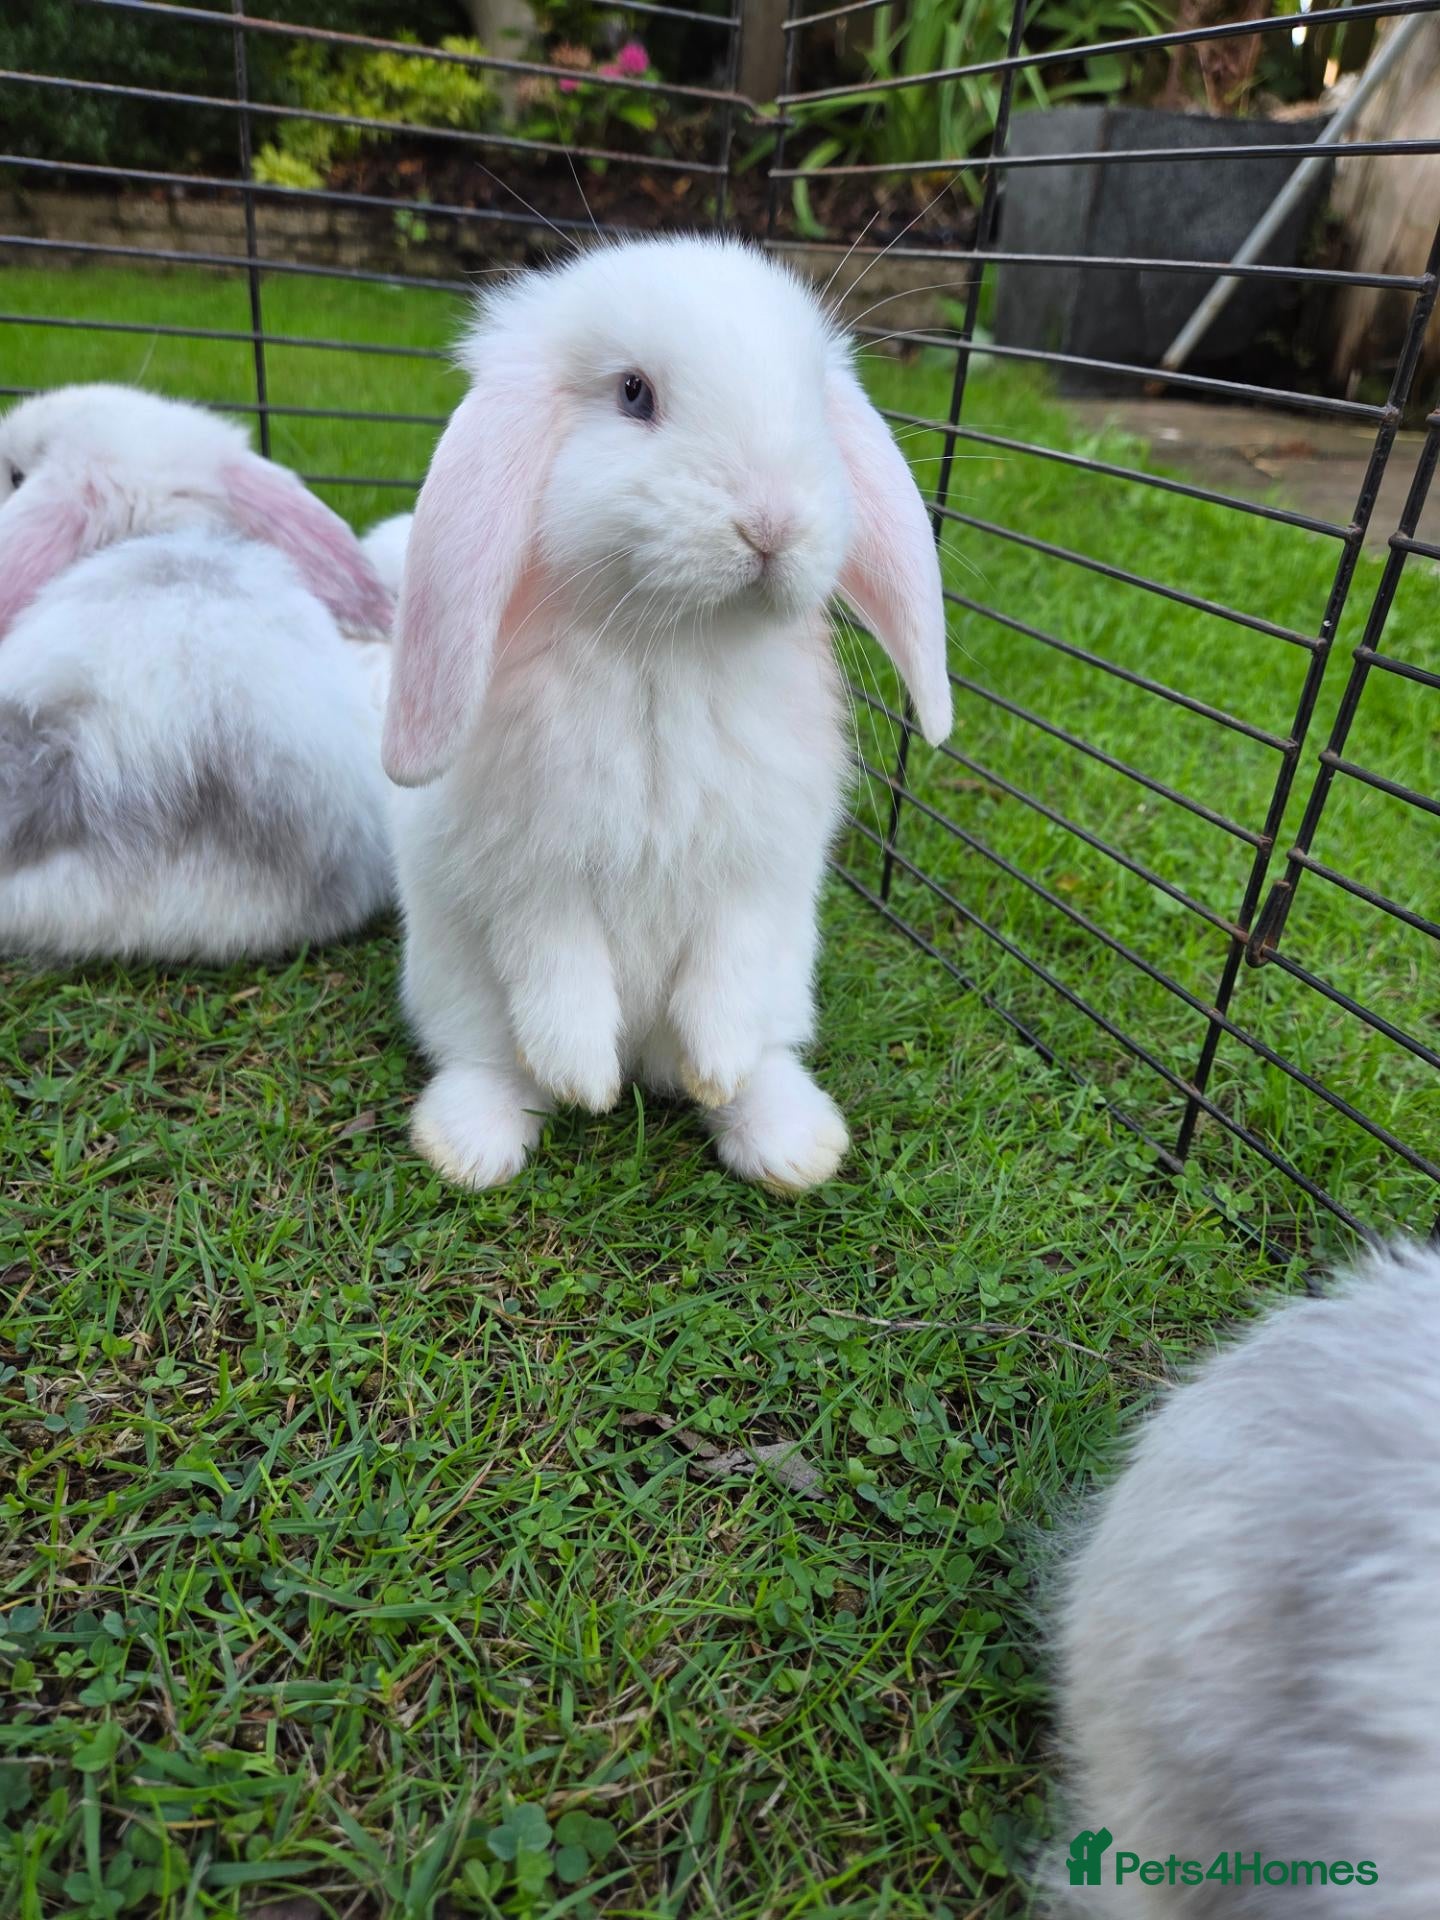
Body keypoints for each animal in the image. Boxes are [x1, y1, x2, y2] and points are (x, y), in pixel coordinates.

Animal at [382, 234, 951, 1192]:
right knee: (494, 1060)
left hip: (786, 984)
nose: (772, 522)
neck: (673, 651)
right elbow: (557, 967)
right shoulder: (528, 870)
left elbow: (726, 968)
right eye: (633, 394)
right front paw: (585, 1082)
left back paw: (786, 1140)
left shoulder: (757, 868)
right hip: (456, 994)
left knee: (757, 1050)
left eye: (812, 400)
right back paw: (472, 1144)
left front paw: (712, 1068)